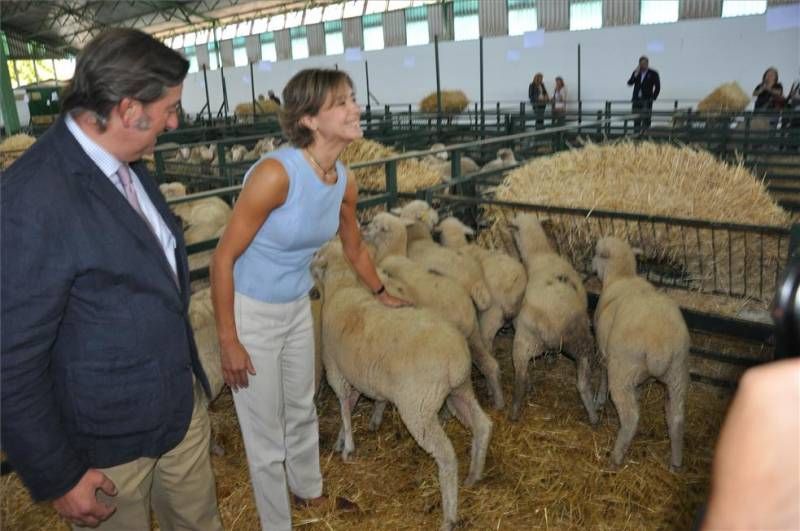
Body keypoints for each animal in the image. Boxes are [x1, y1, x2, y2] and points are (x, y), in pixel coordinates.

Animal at [312, 242, 494, 531]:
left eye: (319, 252)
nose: (309, 262)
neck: (343, 285)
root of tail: (456, 359)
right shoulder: (355, 374)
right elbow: (350, 405)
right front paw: (343, 438)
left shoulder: (335, 370)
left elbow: (344, 406)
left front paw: (347, 446)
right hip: (459, 391)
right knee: (482, 424)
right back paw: (474, 475)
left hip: (418, 407)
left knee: (447, 455)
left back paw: (449, 515)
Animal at [364, 215, 504, 412]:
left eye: (377, 225)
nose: (363, 228)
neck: (392, 253)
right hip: (474, 333)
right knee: (489, 363)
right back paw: (499, 401)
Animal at [510, 215, 596, 424]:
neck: (540, 253)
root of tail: (554, 326)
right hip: (582, 342)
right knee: (583, 383)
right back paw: (593, 415)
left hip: (524, 342)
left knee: (520, 379)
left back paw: (514, 412)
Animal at [592, 237, 692, 470]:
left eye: (595, 253)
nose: (591, 267)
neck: (622, 276)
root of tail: (659, 347)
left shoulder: (603, 352)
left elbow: (602, 376)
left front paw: (599, 399)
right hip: (678, 371)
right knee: (676, 417)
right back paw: (675, 463)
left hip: (622, 369)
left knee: (630, 418)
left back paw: (615, 458)